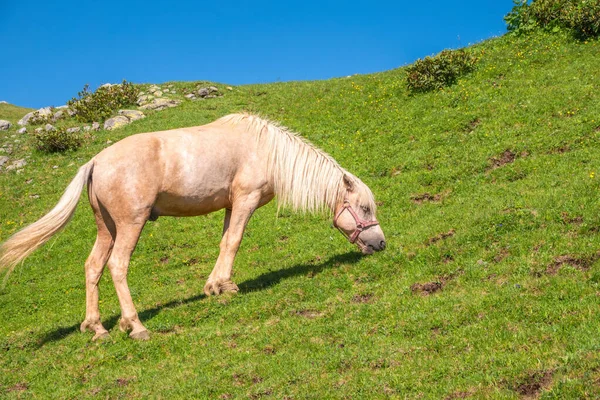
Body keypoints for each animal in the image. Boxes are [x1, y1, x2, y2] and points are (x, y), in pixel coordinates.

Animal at [0, 112, 386, 340]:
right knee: (117, 266)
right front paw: (226, 287)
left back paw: (97, 328)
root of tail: (94, 161)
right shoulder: (244, 201)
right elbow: (234, 241)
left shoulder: (230, 205)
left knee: (93, 266)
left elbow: (224, 242)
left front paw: (216, 286)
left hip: (106, 228)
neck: (267, 150)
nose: (380, 244)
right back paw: (135, 325)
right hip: (130, 225)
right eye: (364, 207)